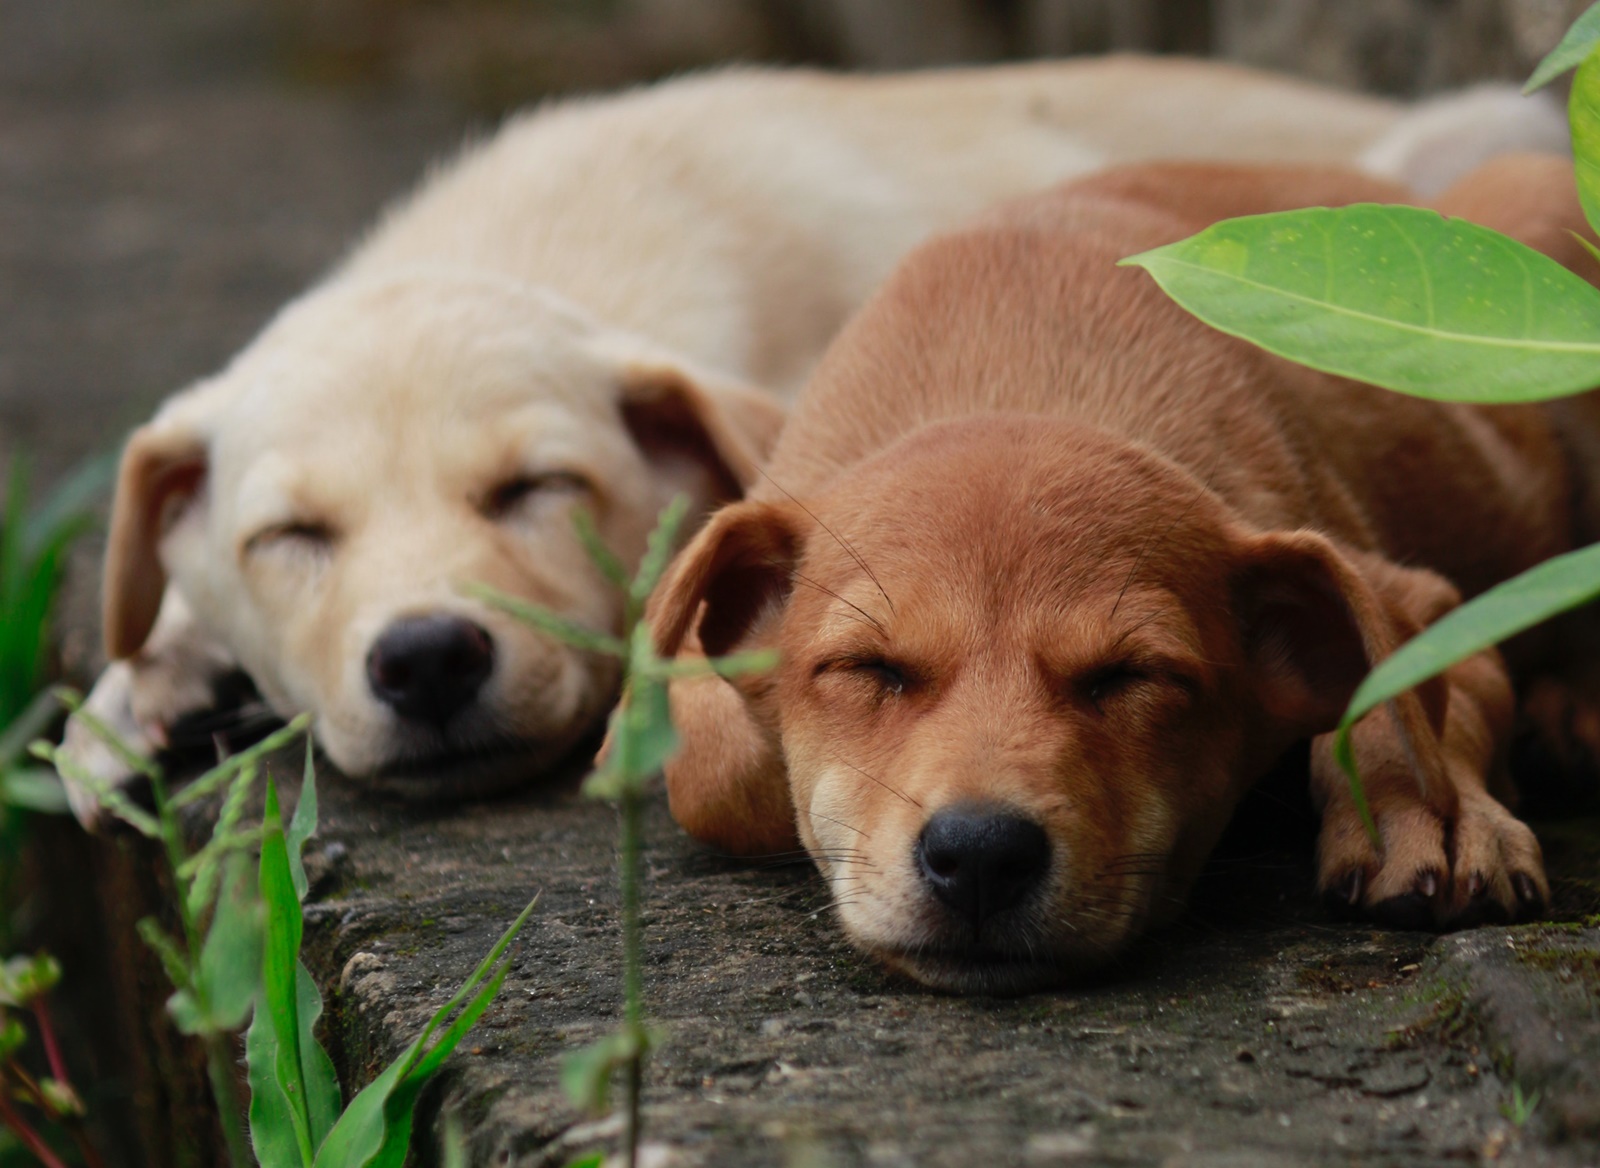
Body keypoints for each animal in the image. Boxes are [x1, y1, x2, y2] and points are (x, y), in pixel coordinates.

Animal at [643, 154, 1593, 992]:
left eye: (1133, 676)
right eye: (868, 669)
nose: (980, 856)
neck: (1015, 367)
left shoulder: (1429, 601)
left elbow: (1408, 696)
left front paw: (1434, 812)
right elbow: (718, 768)